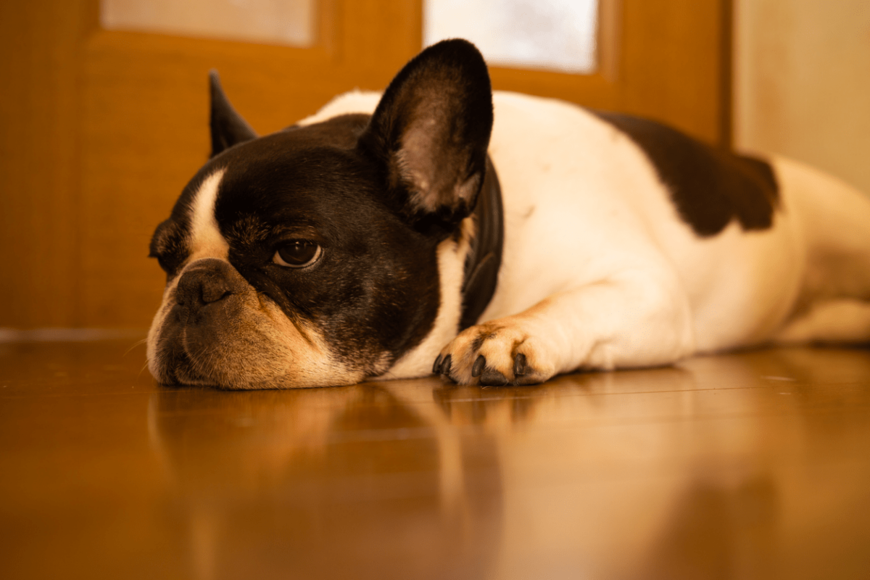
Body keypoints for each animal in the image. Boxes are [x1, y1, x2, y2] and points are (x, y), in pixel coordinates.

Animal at [146, 38, 870, 388]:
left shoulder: (648, 290)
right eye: (164, 259)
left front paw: (509, 334)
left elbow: (570, 301)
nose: (196, 286)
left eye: (295, 251)